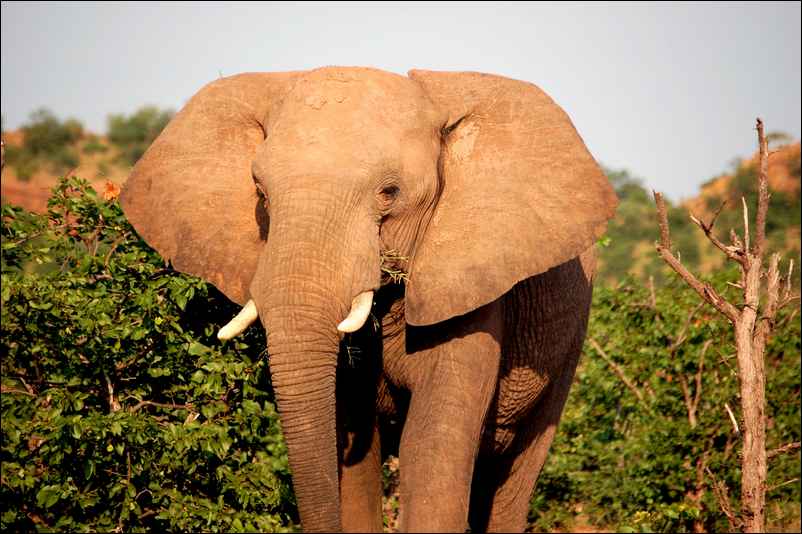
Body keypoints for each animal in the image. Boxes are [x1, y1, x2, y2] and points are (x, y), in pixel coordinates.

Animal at [120, 66, 618, 532]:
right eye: (260, 192)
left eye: (389, 193)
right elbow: (354, 444)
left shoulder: (472, 284)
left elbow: (431, 446)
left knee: (512, 477)